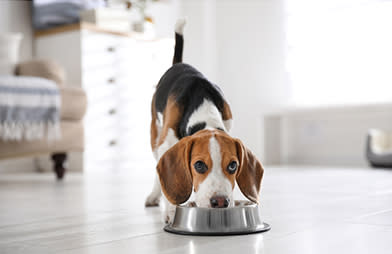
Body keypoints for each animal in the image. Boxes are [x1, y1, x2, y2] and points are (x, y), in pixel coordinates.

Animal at [144, 18, 264, 223]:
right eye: (199, 165)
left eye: (233, 165)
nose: (221, 202)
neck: (202, 105)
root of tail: (179, 63)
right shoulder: (166, 144)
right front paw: (171, 212)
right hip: (155, 136)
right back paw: (154, 195)